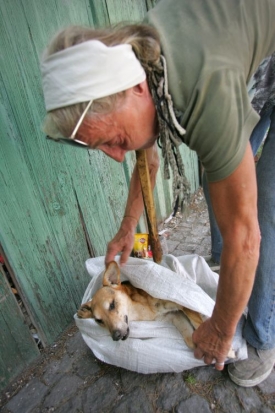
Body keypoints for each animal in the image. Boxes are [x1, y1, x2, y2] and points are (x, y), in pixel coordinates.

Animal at [76, 260, 206, 348]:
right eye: (98, 320)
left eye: (112, 305)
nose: (116, 336)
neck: (141, 309)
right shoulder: (174, 316)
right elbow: (190, 338)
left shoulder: (183, 303)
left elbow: (199, 325)